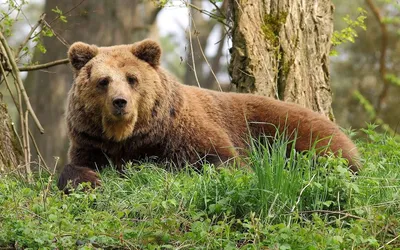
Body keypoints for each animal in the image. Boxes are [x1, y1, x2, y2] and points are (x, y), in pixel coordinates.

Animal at [57, 39, 362, 191]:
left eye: (132, 78)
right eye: (103, 81)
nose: (120, 102)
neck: (131, 137)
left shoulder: (183, 133)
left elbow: (221, 161)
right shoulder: (91, 141)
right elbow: (73, 167)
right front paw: (90, 179)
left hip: (291, 131)